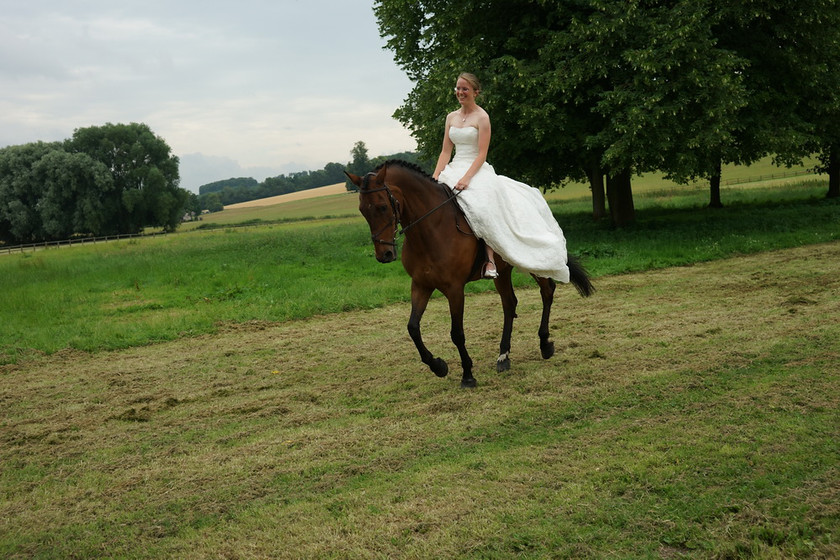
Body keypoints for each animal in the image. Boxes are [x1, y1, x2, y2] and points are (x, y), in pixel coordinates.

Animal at [344, 160, 592, 388]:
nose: (384, 254)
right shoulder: (421, 285)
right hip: (503, 271)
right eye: (362, 210)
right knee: (509, 304)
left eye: (382, 207)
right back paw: (503, 357)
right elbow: (413, 328)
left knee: (547, 292)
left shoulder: (454, 289)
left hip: (533, 259)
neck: (431, 228)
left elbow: (457, 333)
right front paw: (438, 366)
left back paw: (545, 345)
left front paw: (468, 375)